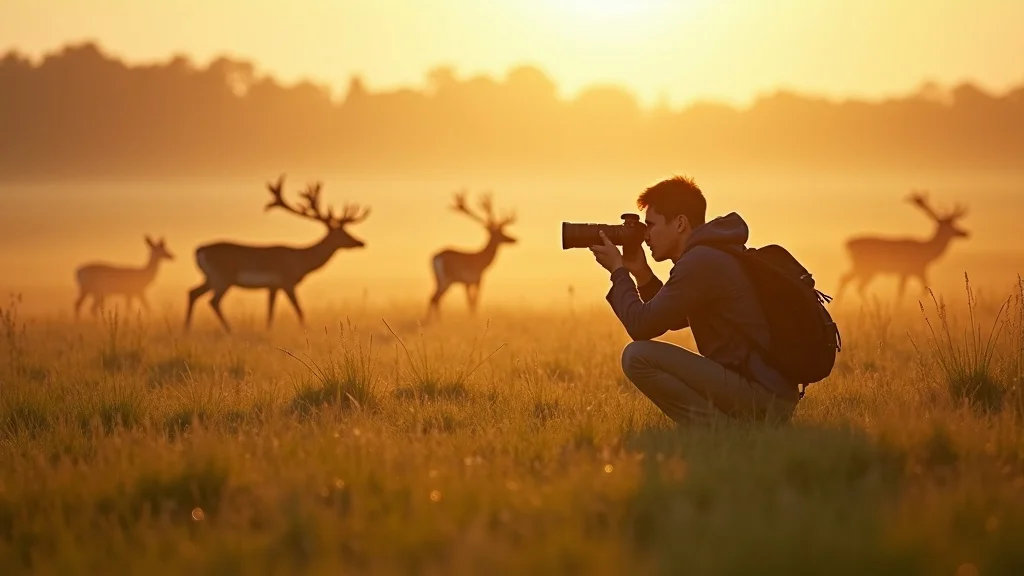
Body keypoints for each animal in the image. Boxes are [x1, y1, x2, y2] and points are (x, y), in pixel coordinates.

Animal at [185, 174, 371, 333]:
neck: (301, 261)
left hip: (210, 277)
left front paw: (269, 330)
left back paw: (187, 329)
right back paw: (230, 330)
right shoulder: (287, 281)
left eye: (347, 230)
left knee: (193, 292)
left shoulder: (273, 286)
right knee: (213, 301)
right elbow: (299, 309)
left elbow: (270, 310)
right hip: (223, 277)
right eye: (342, 233)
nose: (361, 242)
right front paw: (306, 330)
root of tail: (198, 250)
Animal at [426, 189, 517, 321]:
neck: (482, 260)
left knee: (433, 297)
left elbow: (470, 302)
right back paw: (438, 321)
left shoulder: (466, 283)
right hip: (447, 279)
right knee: (435, 298)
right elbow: (474, 302)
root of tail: (435, 258)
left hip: (439, 279)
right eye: (501, 232)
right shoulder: (476, 279)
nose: (515, 239)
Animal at [835, 190, 969, 303]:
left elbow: (905, 290)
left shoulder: (907, 272)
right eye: (952, 225)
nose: (965, 233)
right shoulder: (916, 269)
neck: (927, 252)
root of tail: (847, 244)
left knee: (845, 278)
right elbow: (915, 289)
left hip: (859, 266)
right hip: (866, 267)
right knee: (858, 285)